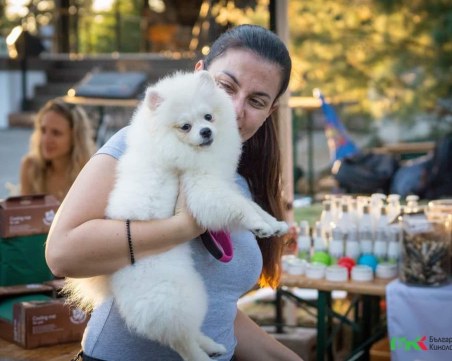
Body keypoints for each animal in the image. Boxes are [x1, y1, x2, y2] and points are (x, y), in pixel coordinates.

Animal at [63, 70, 288, 360]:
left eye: (208, 117)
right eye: (185, 126)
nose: (206, 131)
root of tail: (110, 278)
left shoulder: (221, 183)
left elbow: (251, 204)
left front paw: (274, 223)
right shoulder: (203, 189)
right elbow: (239, 207)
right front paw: (260, 225)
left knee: (188, 332)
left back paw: (212, 345)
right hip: (174, 296)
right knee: (180, 338)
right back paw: (201, 355)